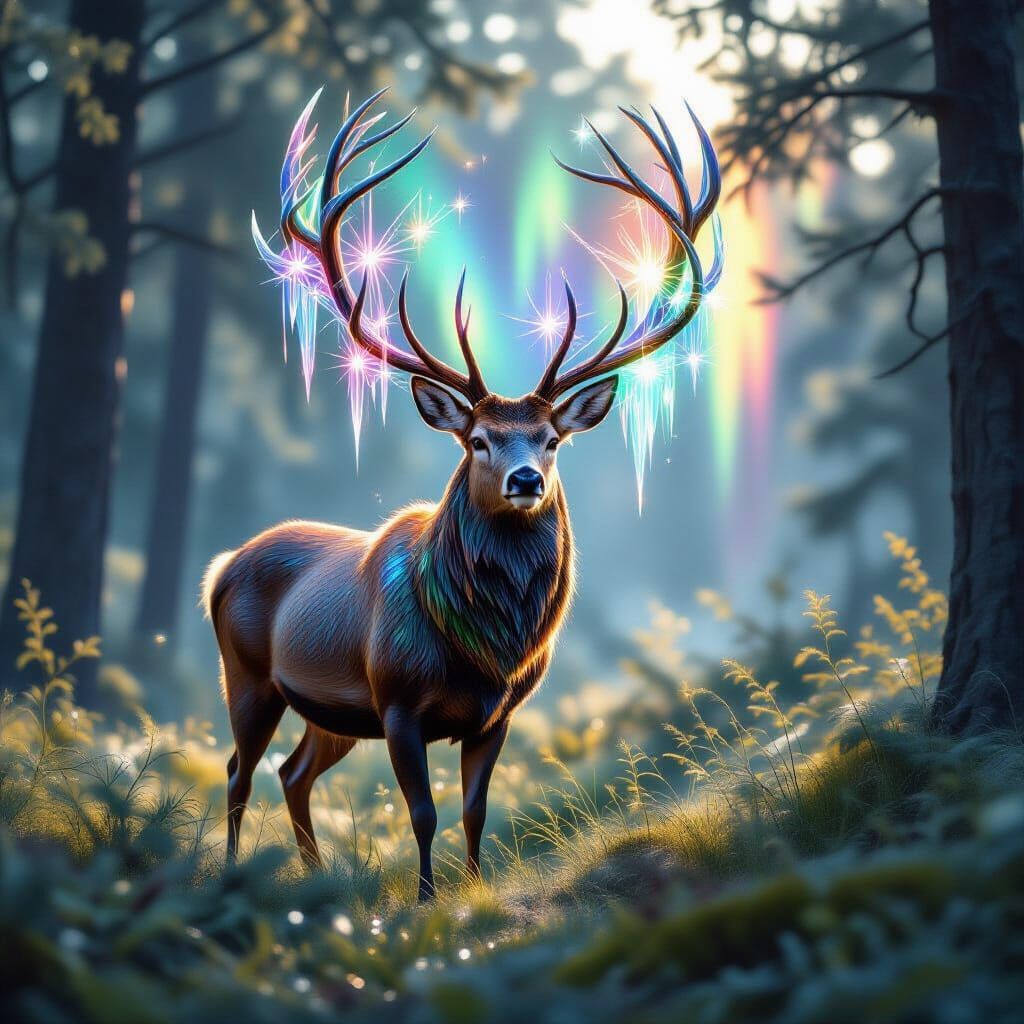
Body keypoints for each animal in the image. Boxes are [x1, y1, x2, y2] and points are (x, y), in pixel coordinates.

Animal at [203, 90, 721, 900]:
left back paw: (316, 877)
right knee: (237, 771)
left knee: (292, 773)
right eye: (477, 439)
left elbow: (476, 811)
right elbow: (422, 813)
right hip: (250, 674)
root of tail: (221, 568)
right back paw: (232, 874)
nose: (525, 480)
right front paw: (425, 900)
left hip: (329, 713)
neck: (484, 647)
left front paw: (473, 889)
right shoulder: (397, 702)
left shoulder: (496, 714)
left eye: (550, 439)